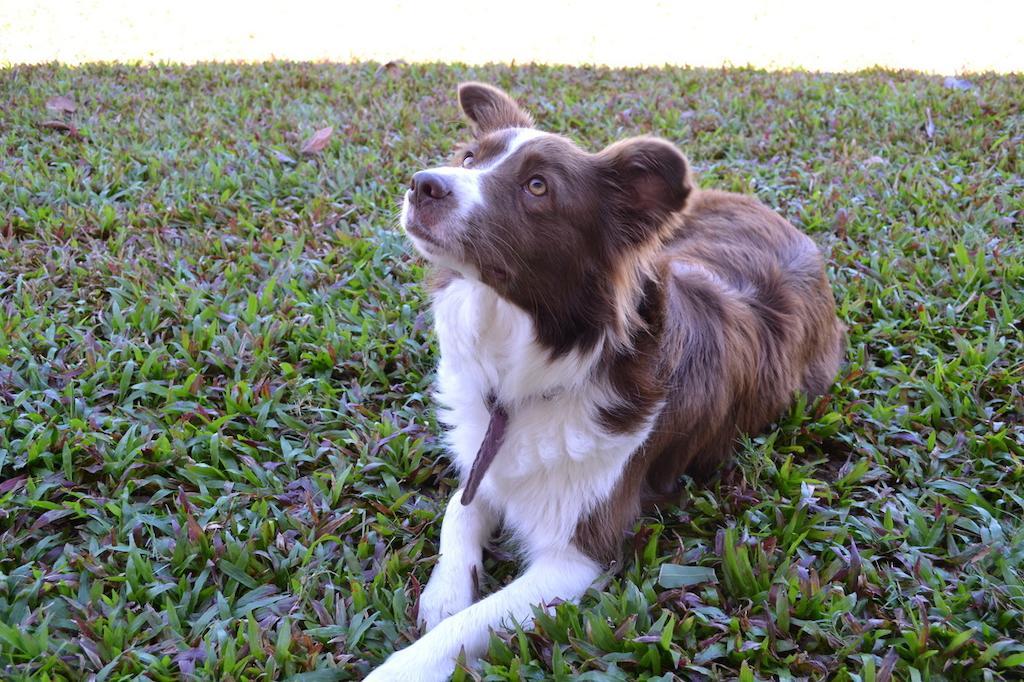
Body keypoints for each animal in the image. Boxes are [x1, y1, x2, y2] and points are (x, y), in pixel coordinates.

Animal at [364, 82, 843, 675]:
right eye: (470, 159)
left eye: (537, 186)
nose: (423, 184)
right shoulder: (485, 469)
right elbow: (458, 515)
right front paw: (444, 596)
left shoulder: (577, 556)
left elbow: (461, 630)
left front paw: (407, 659)